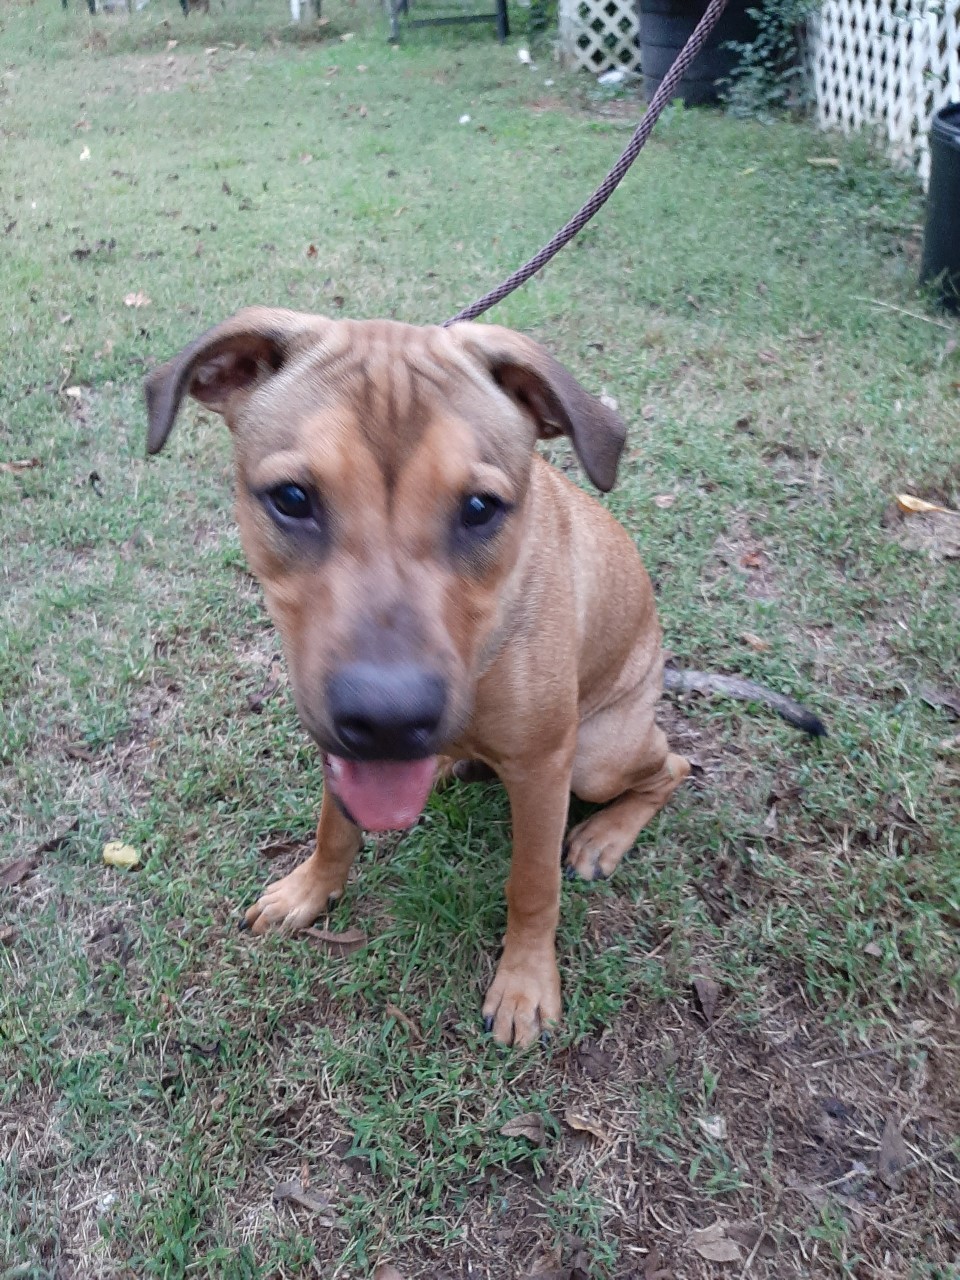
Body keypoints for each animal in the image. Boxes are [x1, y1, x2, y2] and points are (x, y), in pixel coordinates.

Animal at [144, 304, 701, 1044]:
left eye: (480, 508)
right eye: (291, 497)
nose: (387, 719)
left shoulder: (544, 765)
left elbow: (533, 885)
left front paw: (526, 982)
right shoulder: (336, 744)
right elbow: (333, 825)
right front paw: (310, 889)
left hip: (598, 757)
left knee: (673, 766)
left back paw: (604, 836)